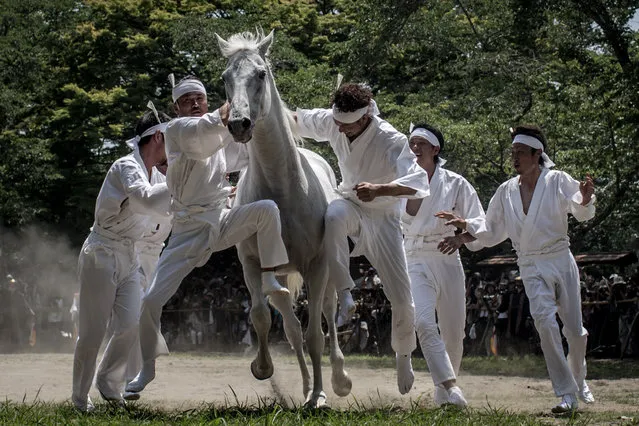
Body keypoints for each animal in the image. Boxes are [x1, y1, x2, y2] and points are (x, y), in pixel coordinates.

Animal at [218, 30, 352, 410]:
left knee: (328, 315)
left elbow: (316, 334)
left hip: (328, 272)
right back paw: (306, 387)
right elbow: (262, 319)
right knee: (291, 331)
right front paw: (262, 368)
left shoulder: (317, 266)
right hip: (278, 276)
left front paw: (320, 396)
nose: (239, 124)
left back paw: (335, 382)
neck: (283, 190)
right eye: (225, 78)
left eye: (261, 74)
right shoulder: (253, 265)